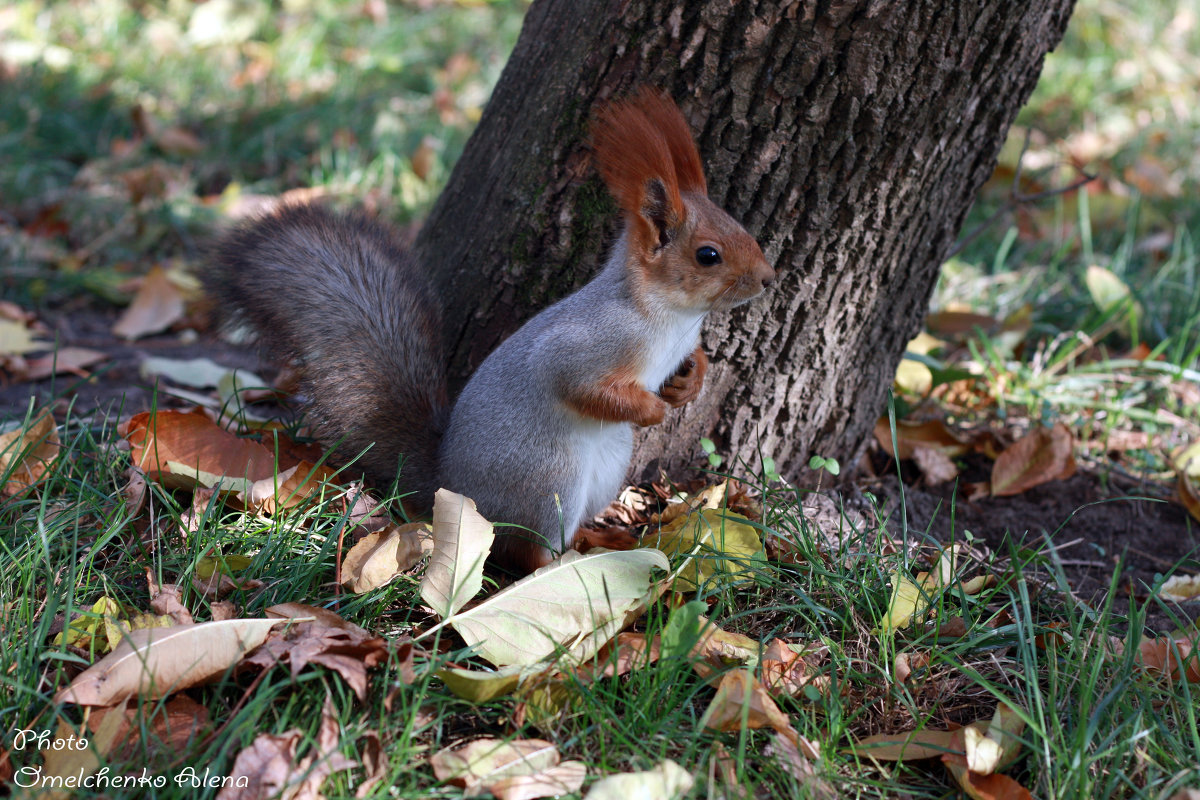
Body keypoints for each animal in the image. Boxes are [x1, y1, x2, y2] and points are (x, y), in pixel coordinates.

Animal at [201, 87, 772, 573]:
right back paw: (563, 563)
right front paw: (651, 408)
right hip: (547, 478)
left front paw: (688, 383)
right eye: (708, 255)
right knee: (525, 549)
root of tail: (450, 487)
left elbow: (692, 363)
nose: (768, 277)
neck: (672, 316)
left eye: (743, 229)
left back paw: (601, 537)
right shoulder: (591, 343)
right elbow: (579, 385)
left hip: (605, 471)